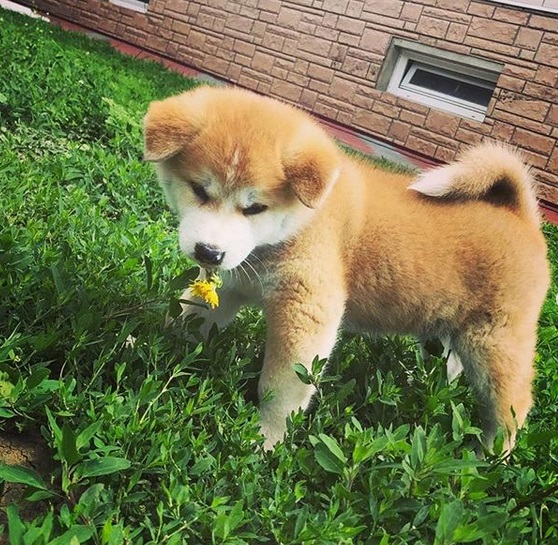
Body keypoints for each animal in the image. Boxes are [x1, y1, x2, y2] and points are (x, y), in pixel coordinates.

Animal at [144, 86, 552, 450]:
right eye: (200, 190)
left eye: (254, 207)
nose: (209, 252)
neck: (302, 222)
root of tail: (520, 216)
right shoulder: (231, 287)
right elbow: (189, 318)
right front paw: (152, 348)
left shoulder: (307, 310)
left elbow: (279, 389)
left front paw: (266, 440)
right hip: (446, 330)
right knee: (450, 366)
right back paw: (428, 386)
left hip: (494, 343)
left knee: (512, 410)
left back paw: (489, 457)